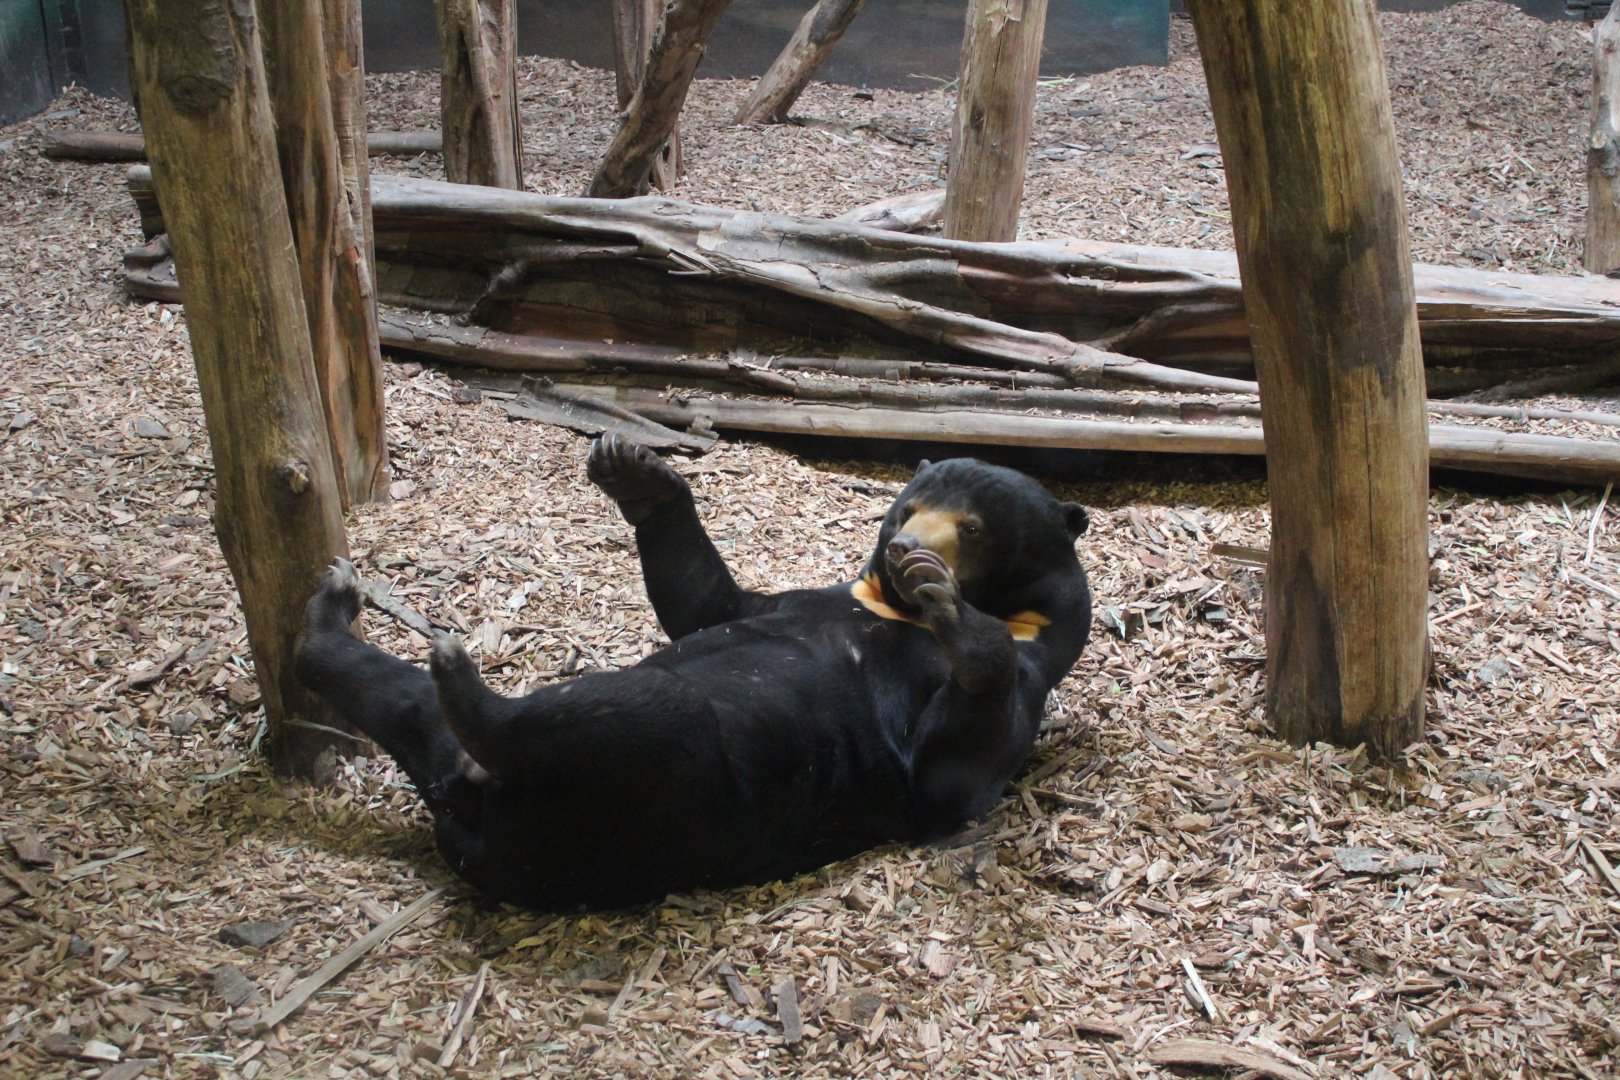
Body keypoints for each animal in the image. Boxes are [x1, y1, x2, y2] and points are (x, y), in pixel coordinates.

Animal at [294, 435, 1093, 910]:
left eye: (972, 529)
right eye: (906, 508)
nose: (905, 551)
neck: (881, 607)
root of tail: (470, 811)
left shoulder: (1024, 670)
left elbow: (952, 776)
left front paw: (955, 613)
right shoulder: (792, 597)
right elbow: (707, 602)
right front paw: (636, 472)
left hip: (642, 798)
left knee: (641, 710)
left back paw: (465, 688)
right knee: (395, 695)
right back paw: (334, 612)